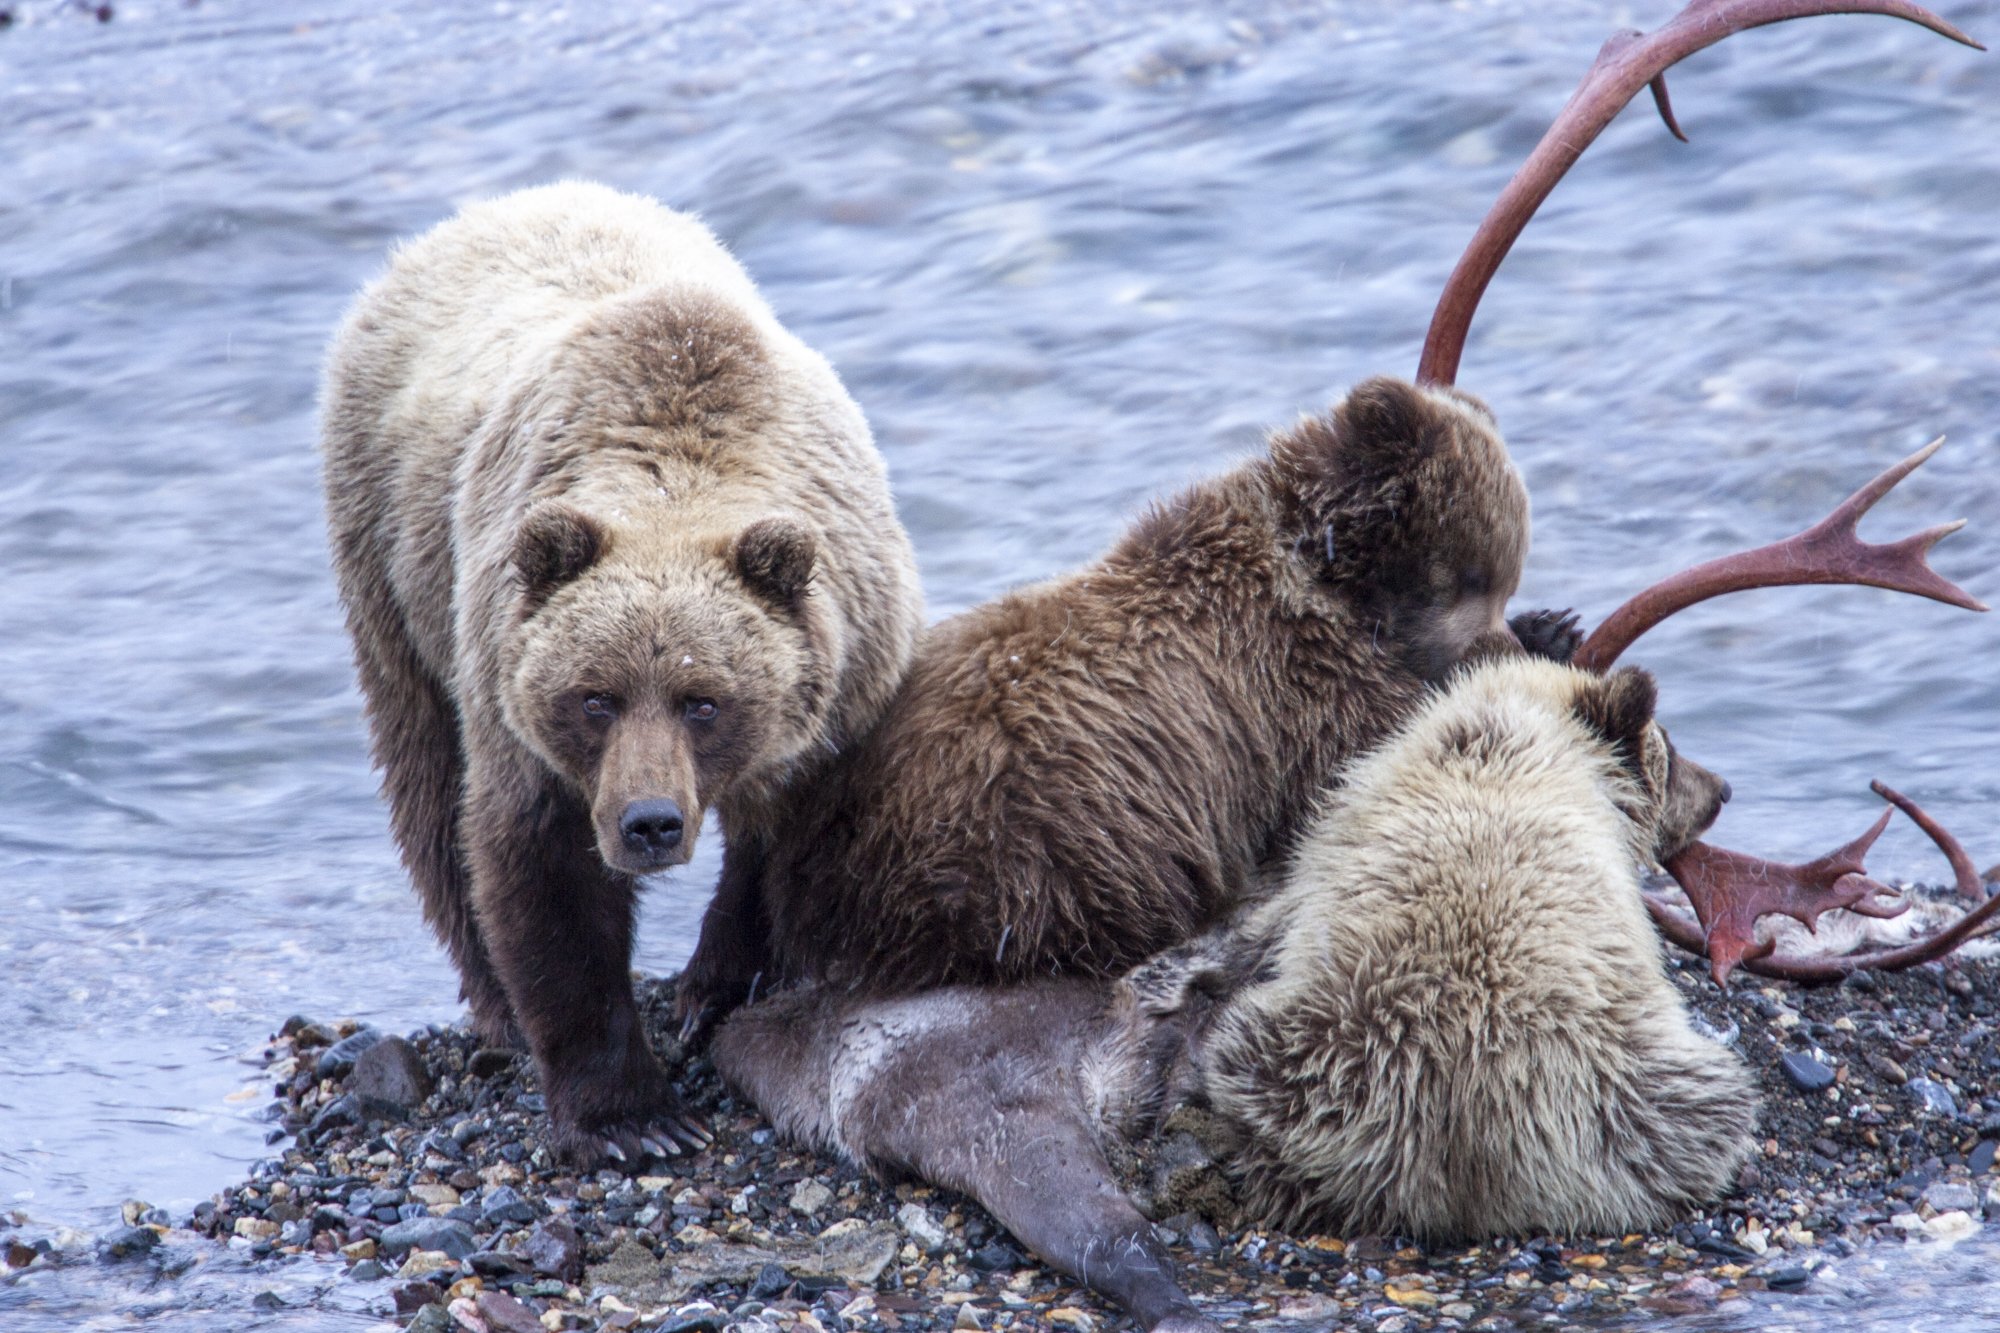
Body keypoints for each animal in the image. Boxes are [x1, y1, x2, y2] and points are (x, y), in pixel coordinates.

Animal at [324, 182, 924, 1160]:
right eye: (595, 697)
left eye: (704, 700)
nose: (649, 822)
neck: (679, 475)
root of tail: (493, 207)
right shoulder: (515, 699)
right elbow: (540, 869)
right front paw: (633, 1118)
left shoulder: (842, 687)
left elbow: (782, 844)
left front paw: (722, 981)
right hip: (391, 563)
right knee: (424, 773)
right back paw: (492, 999)